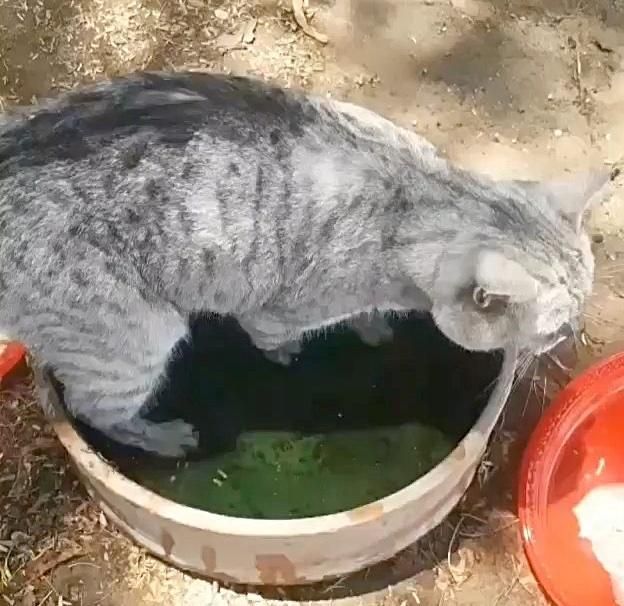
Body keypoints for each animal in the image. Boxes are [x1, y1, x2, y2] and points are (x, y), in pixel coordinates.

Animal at [0, 72, 608, 456]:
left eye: (577, 314)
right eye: (555, 329)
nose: (573, 336)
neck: (418, 194)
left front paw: (373, 326)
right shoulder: (271, 307)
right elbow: (273, 334)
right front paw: (290, 350)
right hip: (137, 340)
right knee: (91, 408)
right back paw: (162, 437)